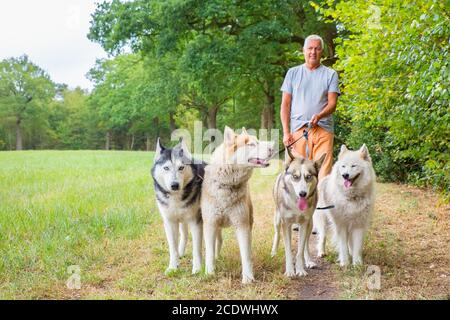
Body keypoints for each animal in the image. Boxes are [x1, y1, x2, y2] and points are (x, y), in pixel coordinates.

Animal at [152, 138, 207, 276]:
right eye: (166, 168)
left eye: (181, 167)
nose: (174, 185)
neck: (176, 198)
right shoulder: (170, 222)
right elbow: (173, 248)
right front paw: (173, 267)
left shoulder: (195, 221)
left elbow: (196, 248)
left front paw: (197, 268)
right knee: (185, 235)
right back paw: (181, 252)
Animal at [201, 126, 274, 284]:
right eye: (251, 144)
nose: (273, 146)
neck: (227, 186)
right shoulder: (210, 224)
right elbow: (209, 252)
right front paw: (209, 273)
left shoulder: (242, 225)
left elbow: (246, 255)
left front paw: (248, 278)